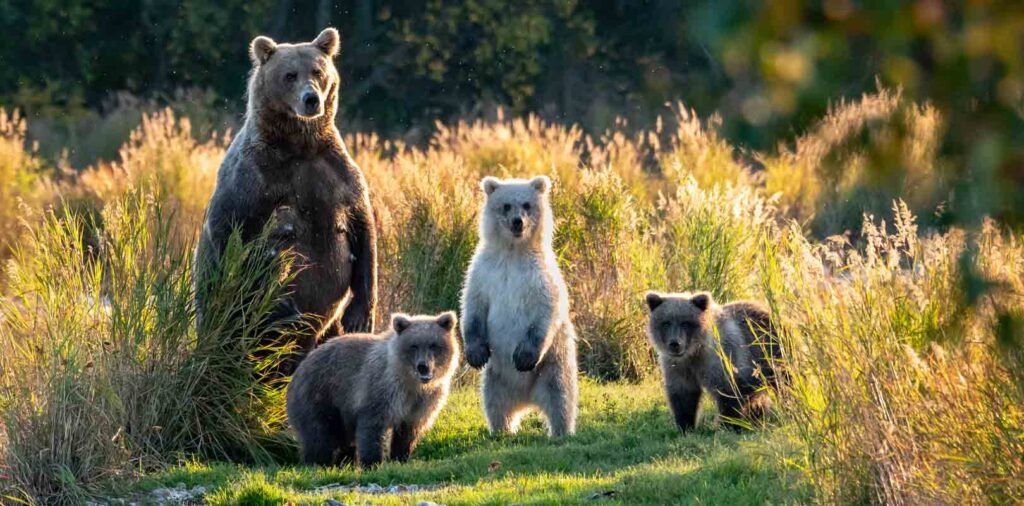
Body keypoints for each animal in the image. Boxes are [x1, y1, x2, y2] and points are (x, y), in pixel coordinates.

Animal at [194, 27, 377, 374]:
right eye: (290, 75)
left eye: (317, 71)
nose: (311, 99)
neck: (300, 145)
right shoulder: (253, 181)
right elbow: (235, 235)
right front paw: (282, 306)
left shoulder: (337, 176)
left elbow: (364, 232)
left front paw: (360, 315)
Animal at [286, 311, 460, 467]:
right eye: (414, 346)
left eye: (434, 345)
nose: (423, 366)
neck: (411, 383)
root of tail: (297, 371)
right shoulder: (382, 389)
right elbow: (372, 426)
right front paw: (373, 462)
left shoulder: (422, 402)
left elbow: (408, 432)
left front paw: (400, 457)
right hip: (320, 395)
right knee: (320, 435)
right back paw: (318, 463)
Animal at [460, 175, 579, 437]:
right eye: (506, 206)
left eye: (526, 204)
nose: (517, 222)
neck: (513, 252)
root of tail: (527, 400)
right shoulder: (484, 272)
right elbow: (473, 306)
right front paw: (475, 353)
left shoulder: (540, 276)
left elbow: (546, 310)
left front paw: (523, 356)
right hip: (496, 378)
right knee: (495, 403)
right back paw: (502, 430)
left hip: (552, 365)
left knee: (561, 397)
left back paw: (560, 431)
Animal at [644, 291, 784, 430]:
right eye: (666, 323)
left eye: (685, 323)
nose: (675, 344)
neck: (694, 353)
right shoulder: (677, 366)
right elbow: (683, 395)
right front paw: (685, 425)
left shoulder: (722, 359)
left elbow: (728, 393)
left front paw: (729, 425)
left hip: (771, 353)